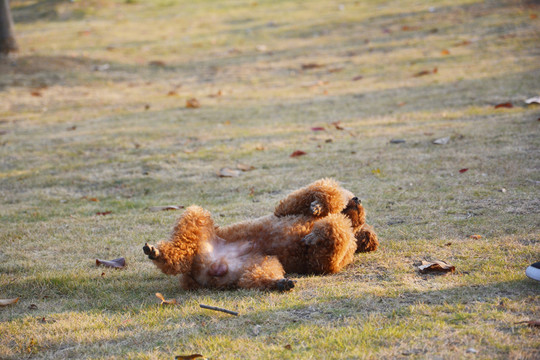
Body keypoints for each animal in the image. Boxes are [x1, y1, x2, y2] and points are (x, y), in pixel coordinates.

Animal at [143, 179, 380, 292]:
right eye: (353, 197)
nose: (357, 199)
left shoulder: (325, 263)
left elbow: (335, 237)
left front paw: (319, 233)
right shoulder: (285, 209)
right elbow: (323, 193)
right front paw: (320, 206)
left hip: (259, 263)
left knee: (251, 280)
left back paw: (278, 284)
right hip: (197, 219)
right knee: (180, 248)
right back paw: (158, 252)